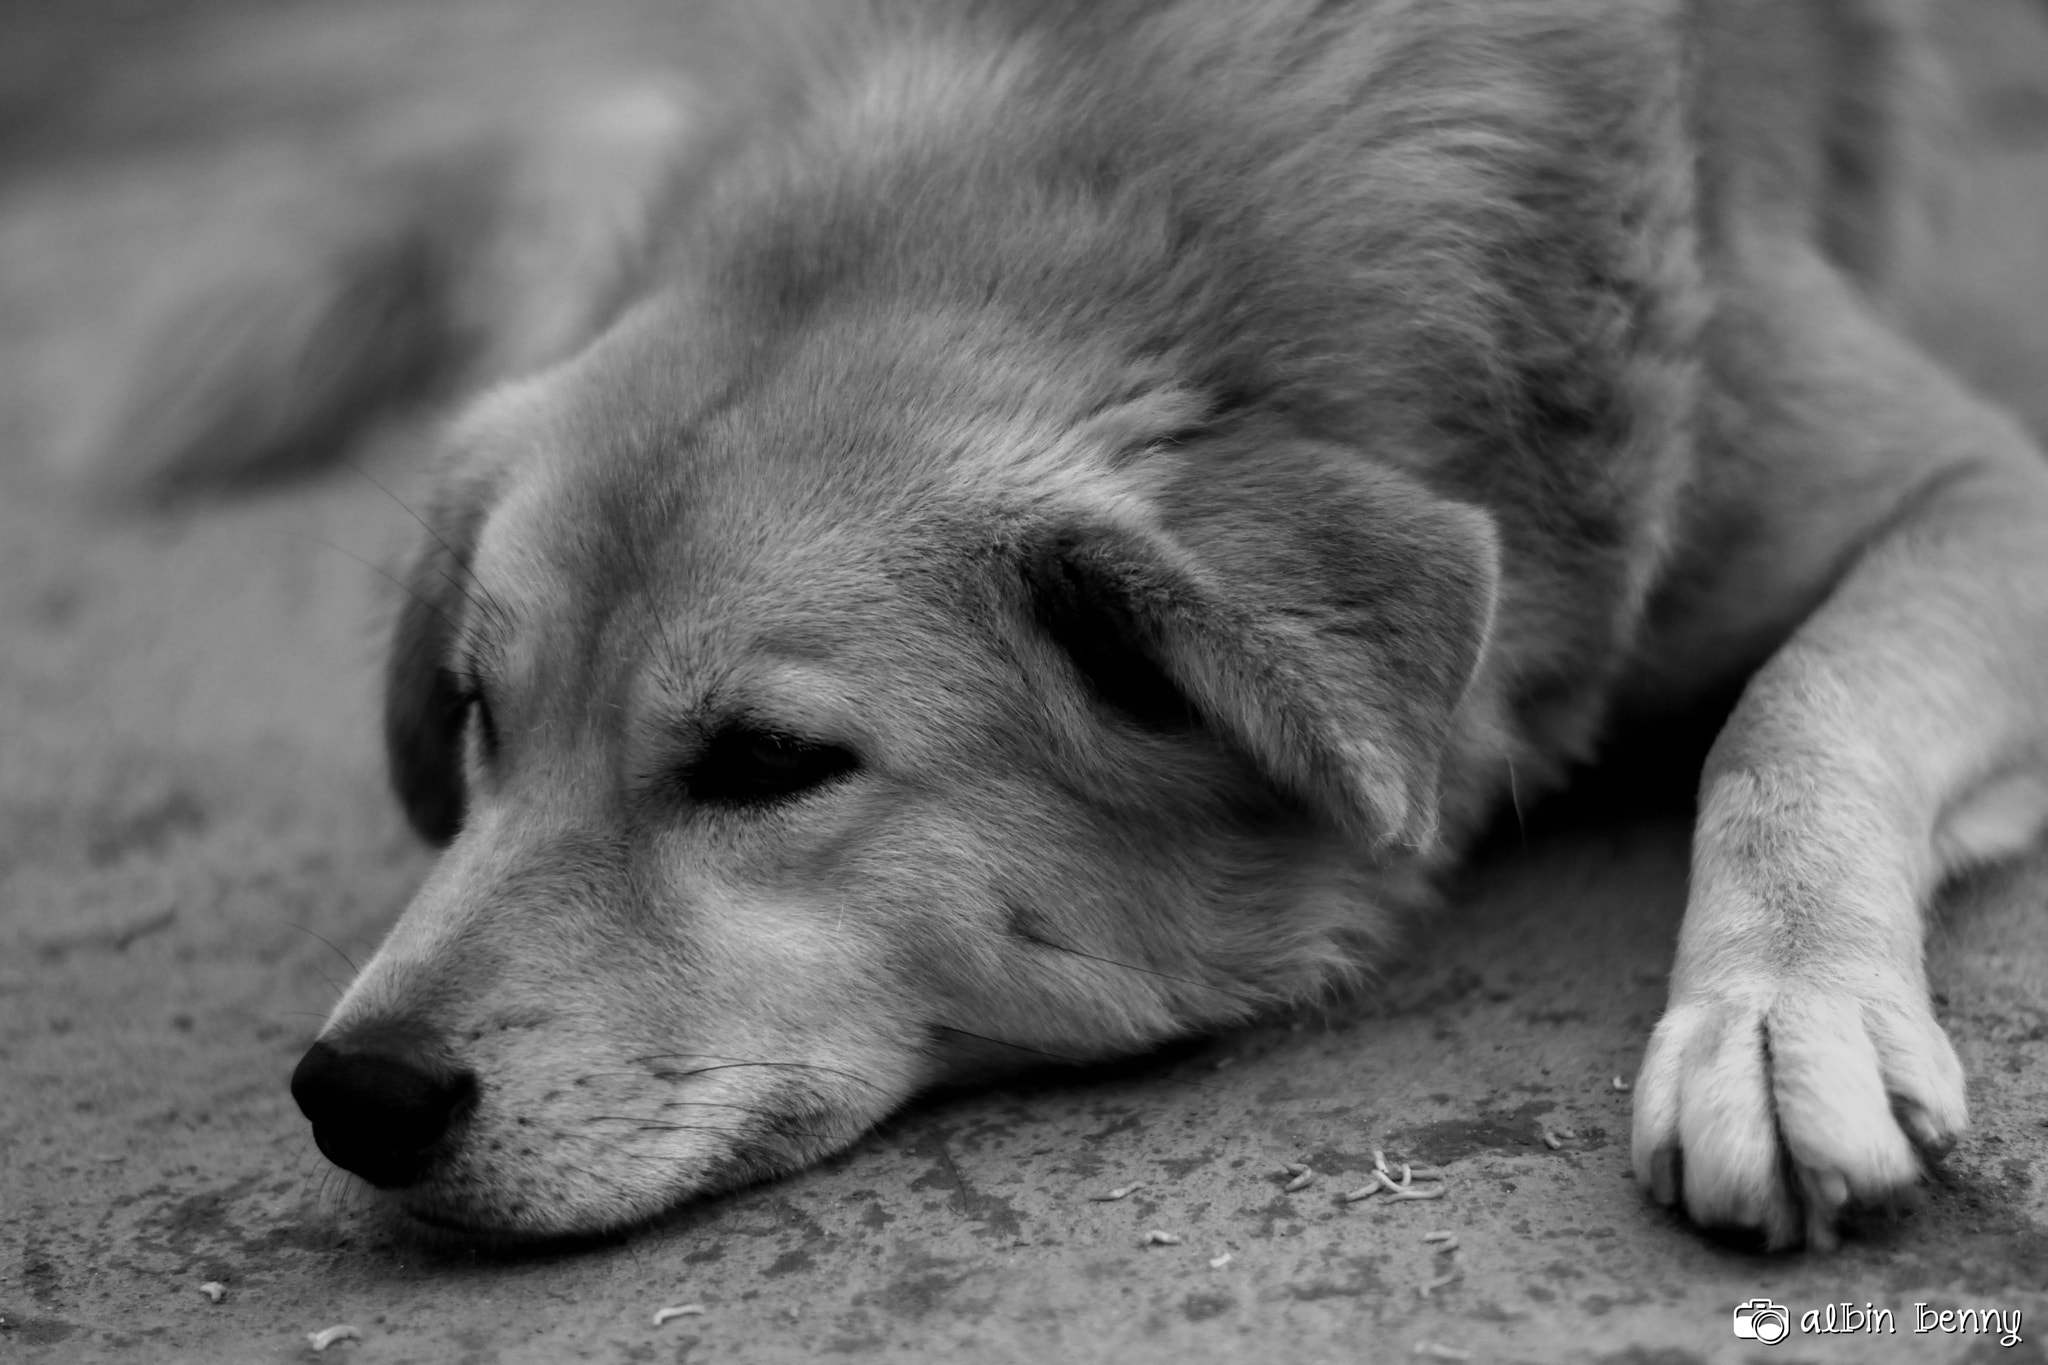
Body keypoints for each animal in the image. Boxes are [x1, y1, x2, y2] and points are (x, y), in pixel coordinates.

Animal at [96, 0, 2048, 1252]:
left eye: (767, 763)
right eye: (480, 718)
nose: (353, 1092)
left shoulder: (1987, 489)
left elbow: (1794, 716)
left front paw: (1778, 1018)